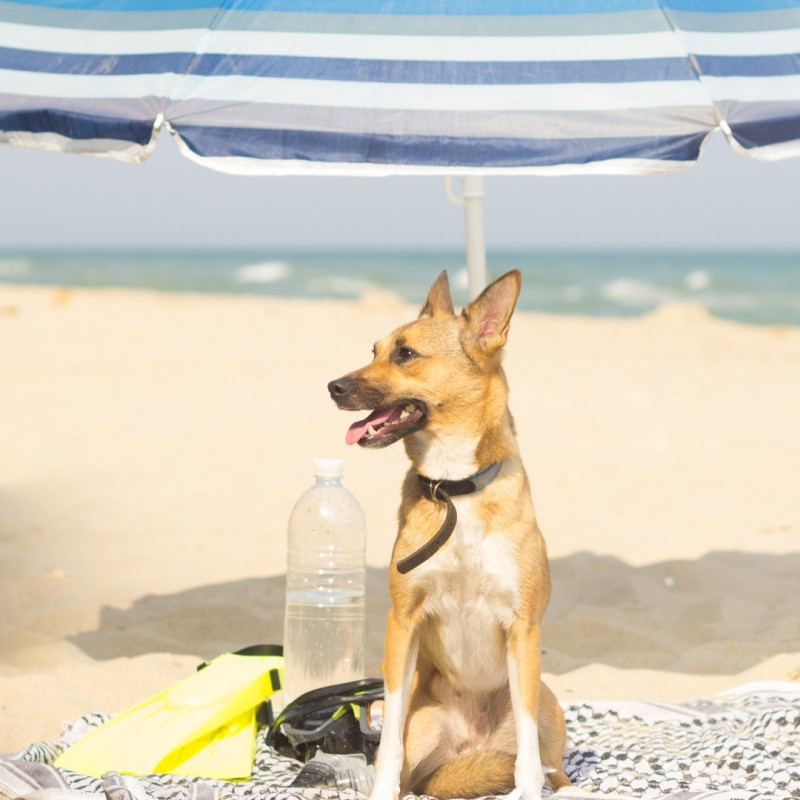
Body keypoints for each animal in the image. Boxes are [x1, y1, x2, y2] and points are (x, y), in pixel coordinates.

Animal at [328, 270, 570, 800]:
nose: (332, 386)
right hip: (425, 722)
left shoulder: (523, 628)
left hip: (546, 700)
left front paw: (528, 790)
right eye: (373, 350)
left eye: (405, 354)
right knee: (413, 776)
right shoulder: (402, 623)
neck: (454, 490)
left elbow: (527, 758)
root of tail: (471, 749)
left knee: (550, 763)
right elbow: (388, 745)